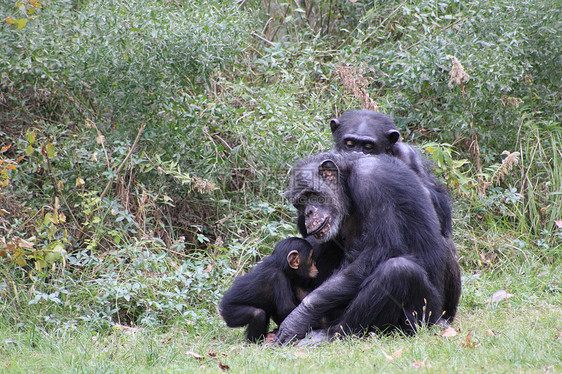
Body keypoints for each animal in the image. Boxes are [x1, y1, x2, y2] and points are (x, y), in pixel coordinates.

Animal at [274, 150, 462, 344]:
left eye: (312, 194)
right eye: (300, 203)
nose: (308, 213)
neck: (347, 182)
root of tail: (441, 319)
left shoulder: (371, 181)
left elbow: (380, 248)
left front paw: (298, 318)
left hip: (426, 318)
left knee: (398, 271)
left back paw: (330, 334)